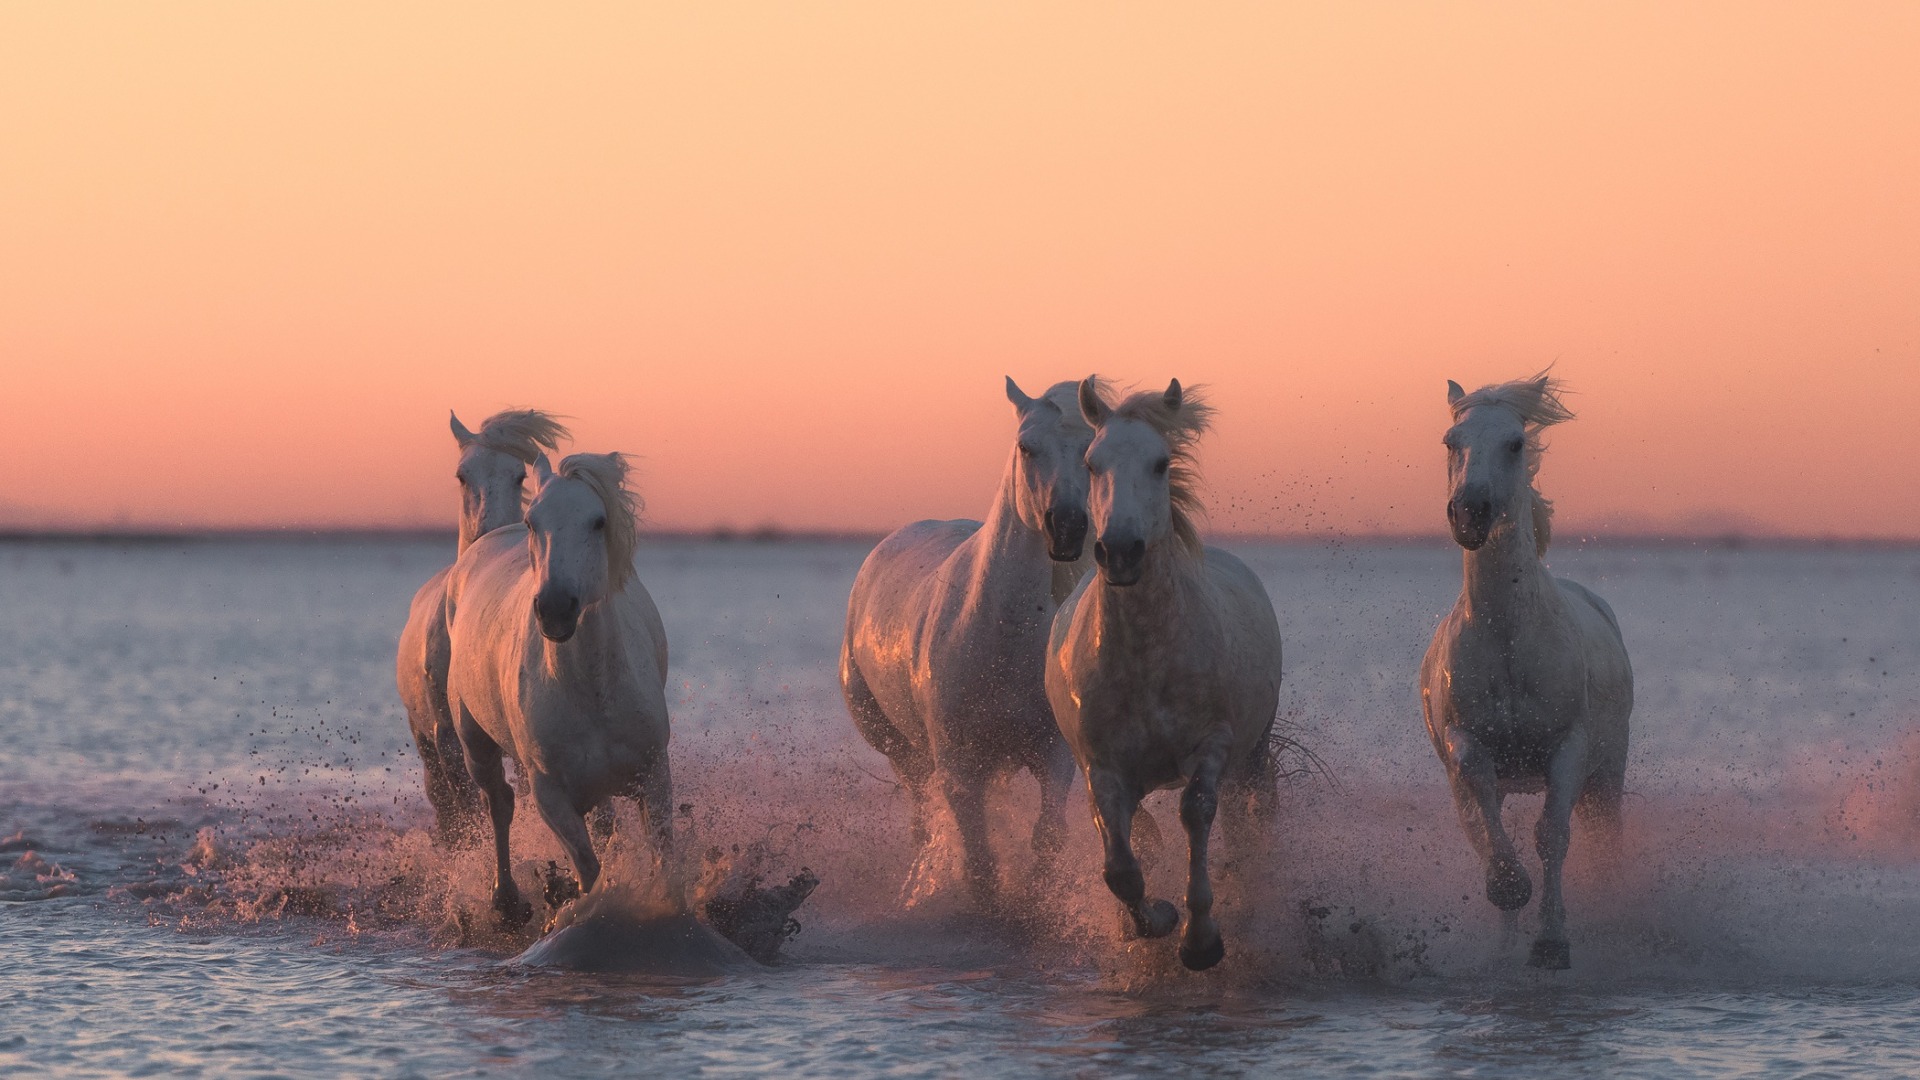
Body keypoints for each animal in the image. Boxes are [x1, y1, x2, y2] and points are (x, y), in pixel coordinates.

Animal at [395, 407, 560, 837]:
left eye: (519, 476)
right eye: (462, 475)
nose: (491, 536)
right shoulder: (447, 738)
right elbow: (467, 812)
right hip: (424, 741)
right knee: (443, 806)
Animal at [443, 449, 675, 922]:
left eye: (598, 521)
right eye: (534, 522)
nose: (554, 609)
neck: (592, 690)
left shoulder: (654, 774)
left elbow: (662, 856)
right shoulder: (550, 794)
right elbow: (589, 868)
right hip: (474, 743)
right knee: (499, 803)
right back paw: (506, 901)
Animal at [840, 374, 1098, 903]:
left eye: (1090, 450)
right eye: (1026, 447)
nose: (1066, 527)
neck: (1003, 634)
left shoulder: (1053, 754)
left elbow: (1046, 836)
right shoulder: (959, 765)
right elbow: (978, 860)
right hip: (899, 748)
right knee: (921, 817)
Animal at [1044, 378, 1282, 968]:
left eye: (1160, 463)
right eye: (1091, 463)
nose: (1120, 553)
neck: (1146, 660)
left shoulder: (1213, 743)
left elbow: (1196, 814)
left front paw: (1201, 939)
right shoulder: (1102, 768)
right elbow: (1120, 866)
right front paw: (1153, 921)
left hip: (1254, 754)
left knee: (1248, 822)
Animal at [1420, 372, 1628, 968]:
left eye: (1515, 443)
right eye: (1450, 442)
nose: (1470, 513)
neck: (1509, 637)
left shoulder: (1570, 746)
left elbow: (1551, 838)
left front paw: (1552, 942)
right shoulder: (1466, 743)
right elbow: (1487, 825)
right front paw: (1509, 890)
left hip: (1608, 775)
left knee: (1602, 836)